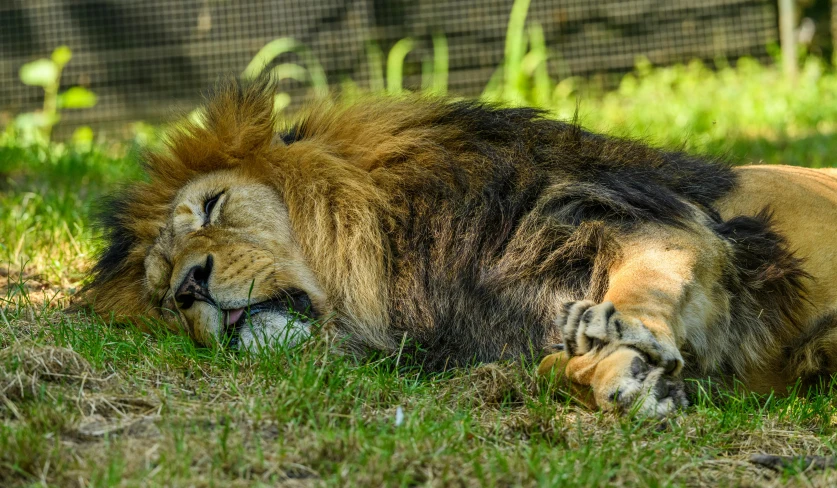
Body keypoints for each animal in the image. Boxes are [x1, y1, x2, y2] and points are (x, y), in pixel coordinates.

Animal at [80, 80, 837, 416]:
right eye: (161, 296)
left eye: (213, 205)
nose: (190, 287)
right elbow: (550, 366)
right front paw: (616, 378)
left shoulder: (653, 221)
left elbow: (643, 284)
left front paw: (620, 339)